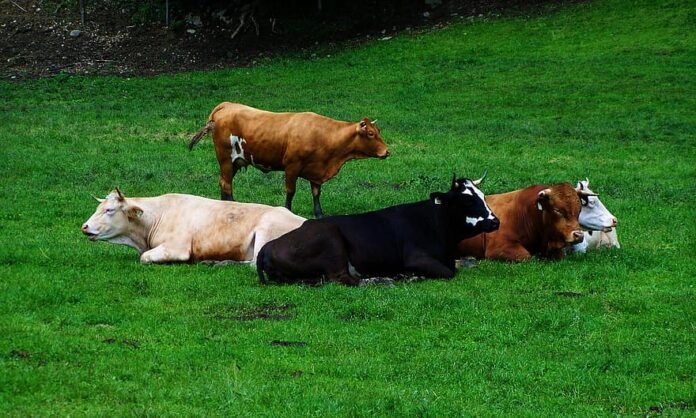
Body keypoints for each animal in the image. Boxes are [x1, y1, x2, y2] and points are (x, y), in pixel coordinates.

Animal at [81, 188, 305, 264]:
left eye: (109, 210)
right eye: (99, 207)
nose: (84, 226)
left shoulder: (177, 247)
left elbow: (144, 258)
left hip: (265, 232)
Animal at [188, 102, 389, 218]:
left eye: (379, 131)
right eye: (371, 134)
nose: (387, 151)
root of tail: (227, 105)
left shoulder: (317, 170)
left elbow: (316, 193)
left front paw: (319, 213)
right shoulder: (292, 166)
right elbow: (290, 191)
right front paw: (287, 210)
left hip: (234, 162)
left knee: (224, 182)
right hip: (225, 158)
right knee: (226, 183)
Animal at [256, 174, 500, 286]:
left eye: (483, 196)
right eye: (467, 201)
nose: (495, 221)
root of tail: (268, 246)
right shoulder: (417, 258)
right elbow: (449, 272)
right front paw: (409, 275)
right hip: (331, 242)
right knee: (344, 278)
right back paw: (381, 280)